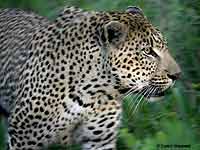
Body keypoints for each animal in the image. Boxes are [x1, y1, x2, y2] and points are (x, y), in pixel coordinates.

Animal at [0, 5, 181, 150]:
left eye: (164, 47)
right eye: (148, 52)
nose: (177, 75)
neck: (93, 92)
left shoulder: (100, 140)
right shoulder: (23, 138)